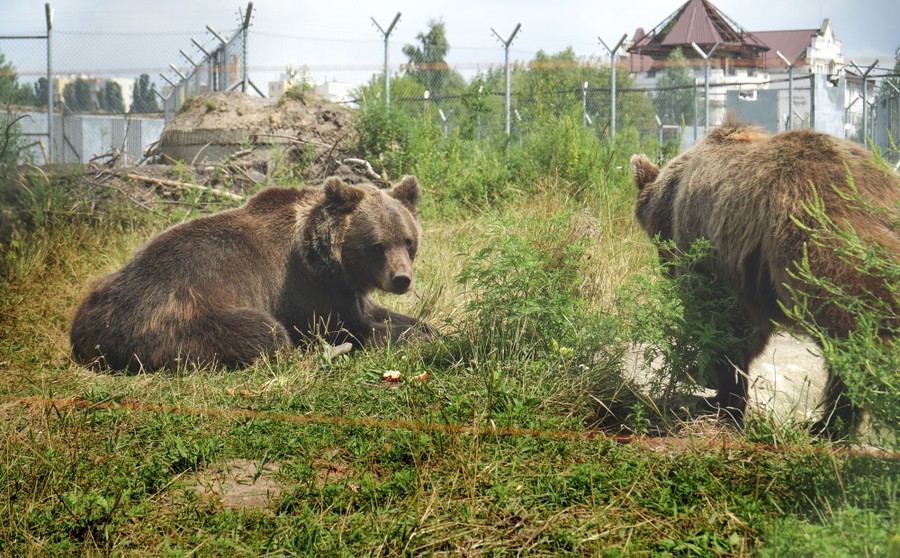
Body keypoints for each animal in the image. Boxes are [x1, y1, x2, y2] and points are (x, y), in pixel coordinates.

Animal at [70, 177, 432, 374]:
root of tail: (88, 331)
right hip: (179, 317)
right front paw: (412, 337)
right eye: (377, 245)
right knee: (265, 332)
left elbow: (377, 313)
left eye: (407, 240)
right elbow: (351, 328)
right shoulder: (305, 288)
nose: (401, 279)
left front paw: (426, 328)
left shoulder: (345, 289)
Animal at [632, 121, 900, 438]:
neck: (674, 193)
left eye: (656, 239)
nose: (664, 268)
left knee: (858, 331)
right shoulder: (750, 274)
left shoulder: (712, 244)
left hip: (822, 239)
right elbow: (749, 332)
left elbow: (721, 322)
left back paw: (828, 423)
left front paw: (718, 395)